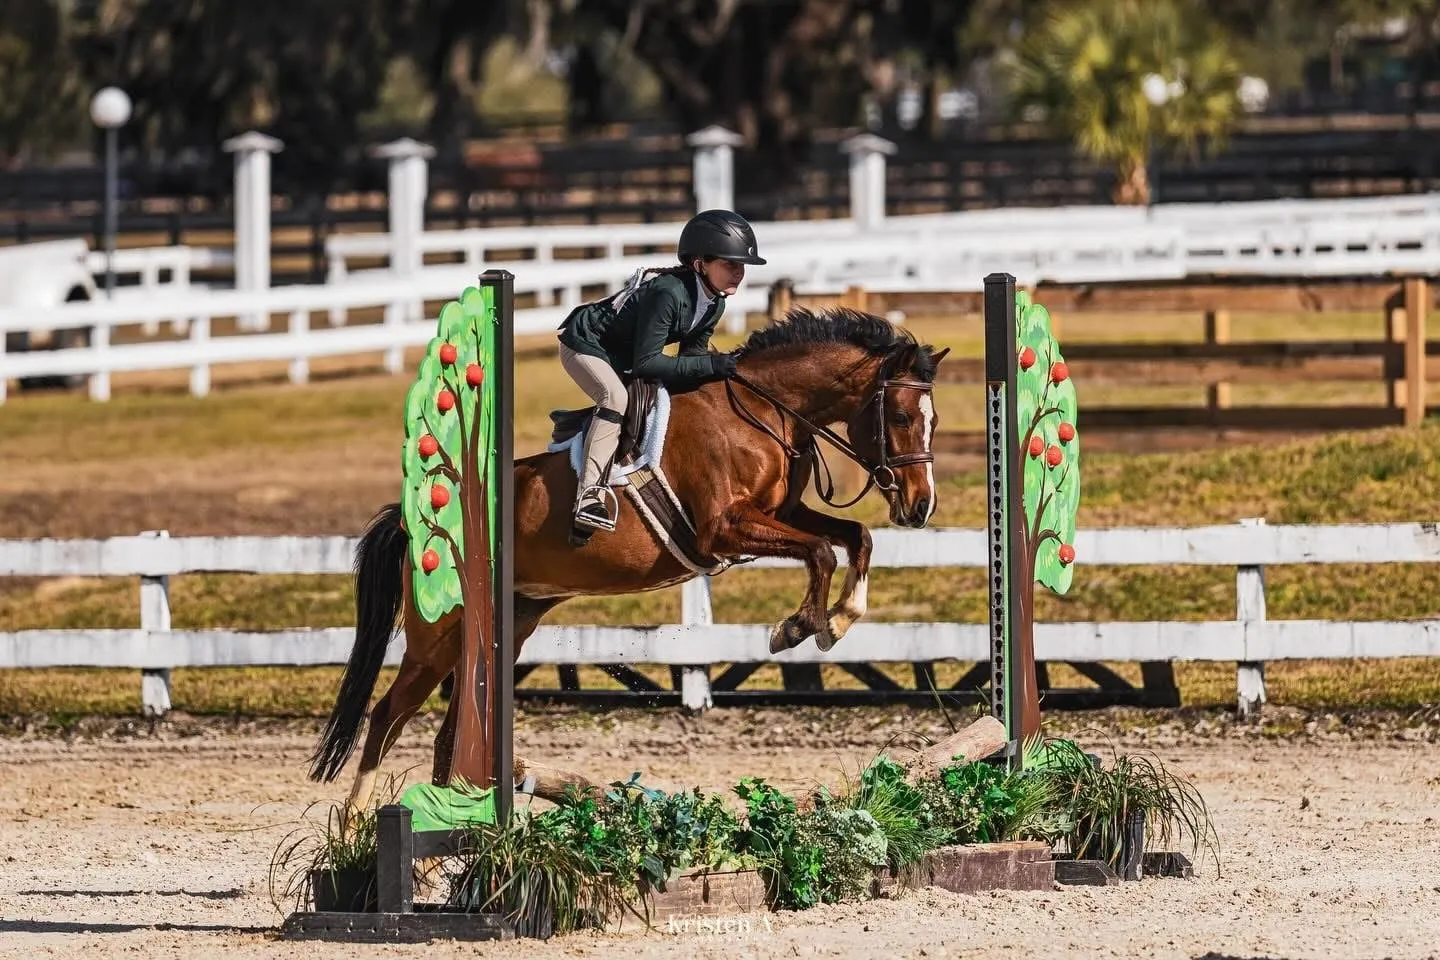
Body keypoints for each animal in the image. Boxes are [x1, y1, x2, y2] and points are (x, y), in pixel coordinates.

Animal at [307, 306, 950, 815]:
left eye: (933, 420)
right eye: (899, 418)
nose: (920, 507)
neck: (762, 411)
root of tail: (413, 523)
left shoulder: (782, 513)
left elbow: (855, 537)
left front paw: (836, 621)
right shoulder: (724, 529)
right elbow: (819, 550)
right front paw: (797, 628)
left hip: (507, 624)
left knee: (448, 736)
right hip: (438, 636)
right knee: (388, 714)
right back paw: (357, 827)